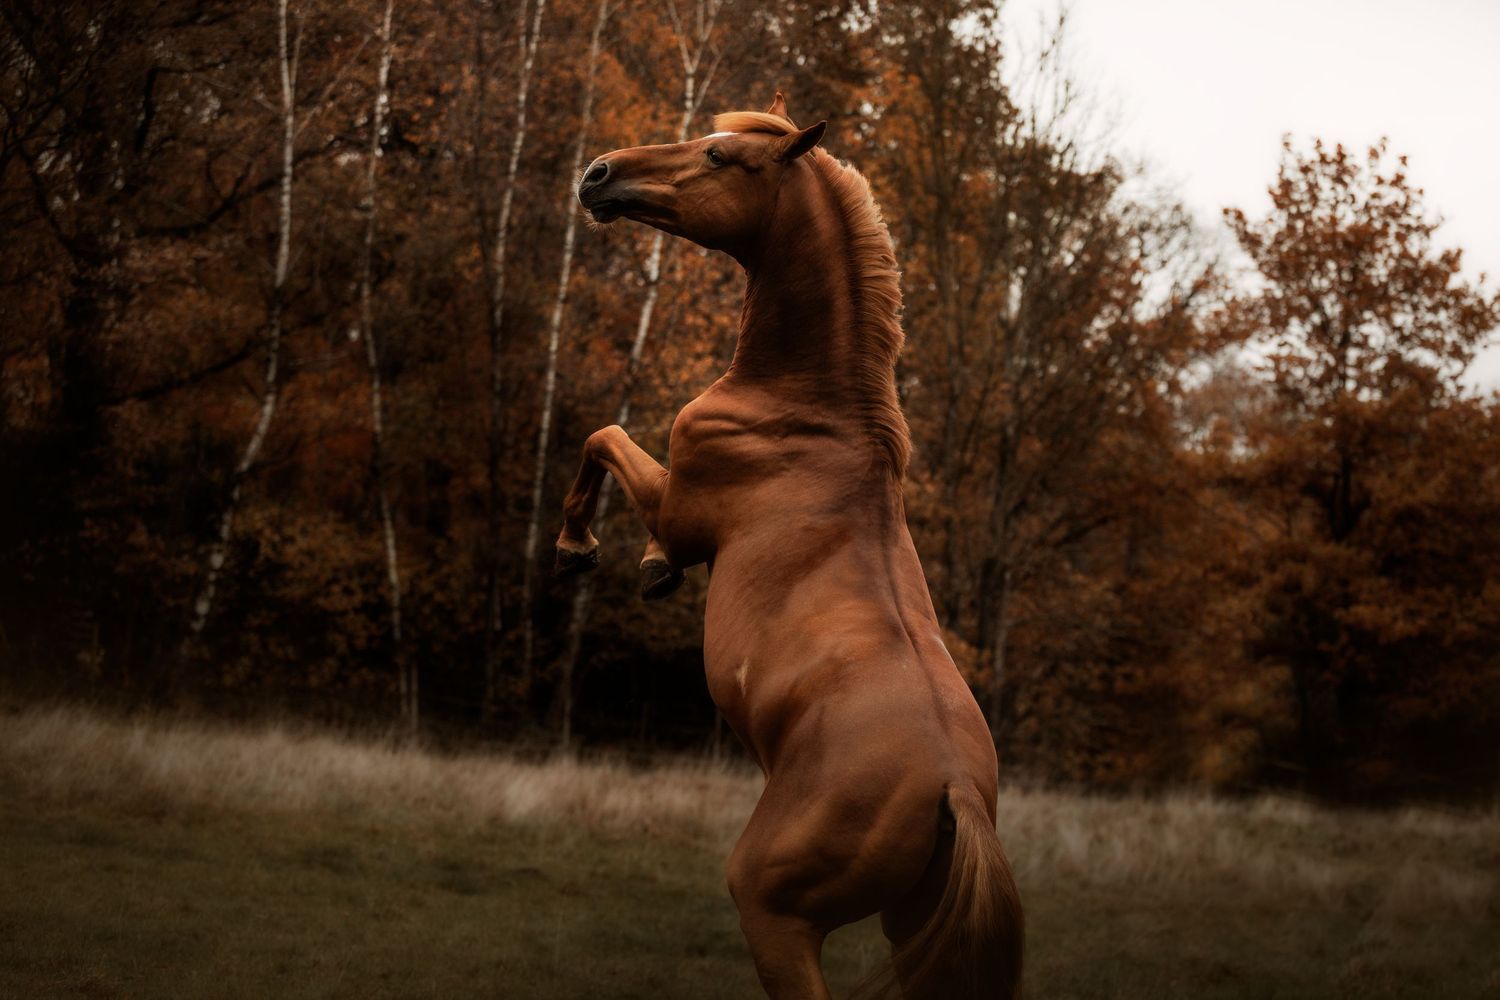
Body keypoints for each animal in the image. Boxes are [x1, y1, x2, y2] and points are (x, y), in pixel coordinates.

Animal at [556, 92, 1023, 1000]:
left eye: (719, 156)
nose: (598, 173)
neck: (807, 410)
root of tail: (954, 789)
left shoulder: (681, 506)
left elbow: (603, 438)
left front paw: (589, 549)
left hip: (773, 909)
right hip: (909, 929)